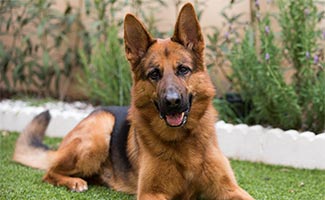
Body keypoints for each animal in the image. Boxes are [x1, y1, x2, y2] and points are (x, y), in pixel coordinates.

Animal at [13, 3, 253, 200]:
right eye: (154, 74)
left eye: (183, 70)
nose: (172, 102)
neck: (183, 141)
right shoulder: (151, 193)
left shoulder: (230, 189)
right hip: (100, 131)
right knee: (49, 172)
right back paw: (74, 182)